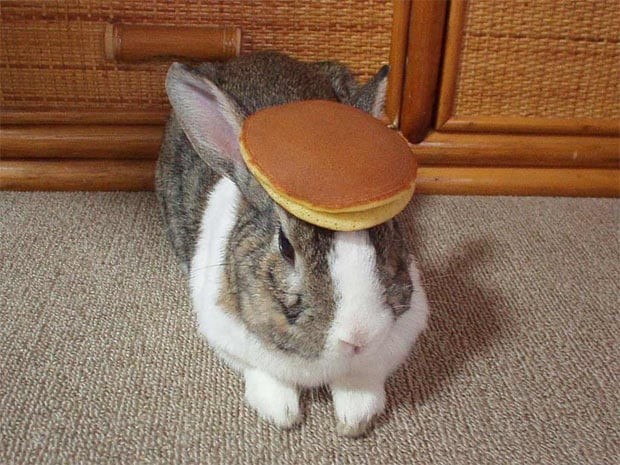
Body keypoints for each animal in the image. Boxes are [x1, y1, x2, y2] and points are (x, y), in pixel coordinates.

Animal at [156, 52, 426, 436]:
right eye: (285, 246)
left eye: (388, 229)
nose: (359, 336)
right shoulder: (225, 335)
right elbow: (265, 374)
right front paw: (281, 413)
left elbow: (363, 379)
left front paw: (355, 418)